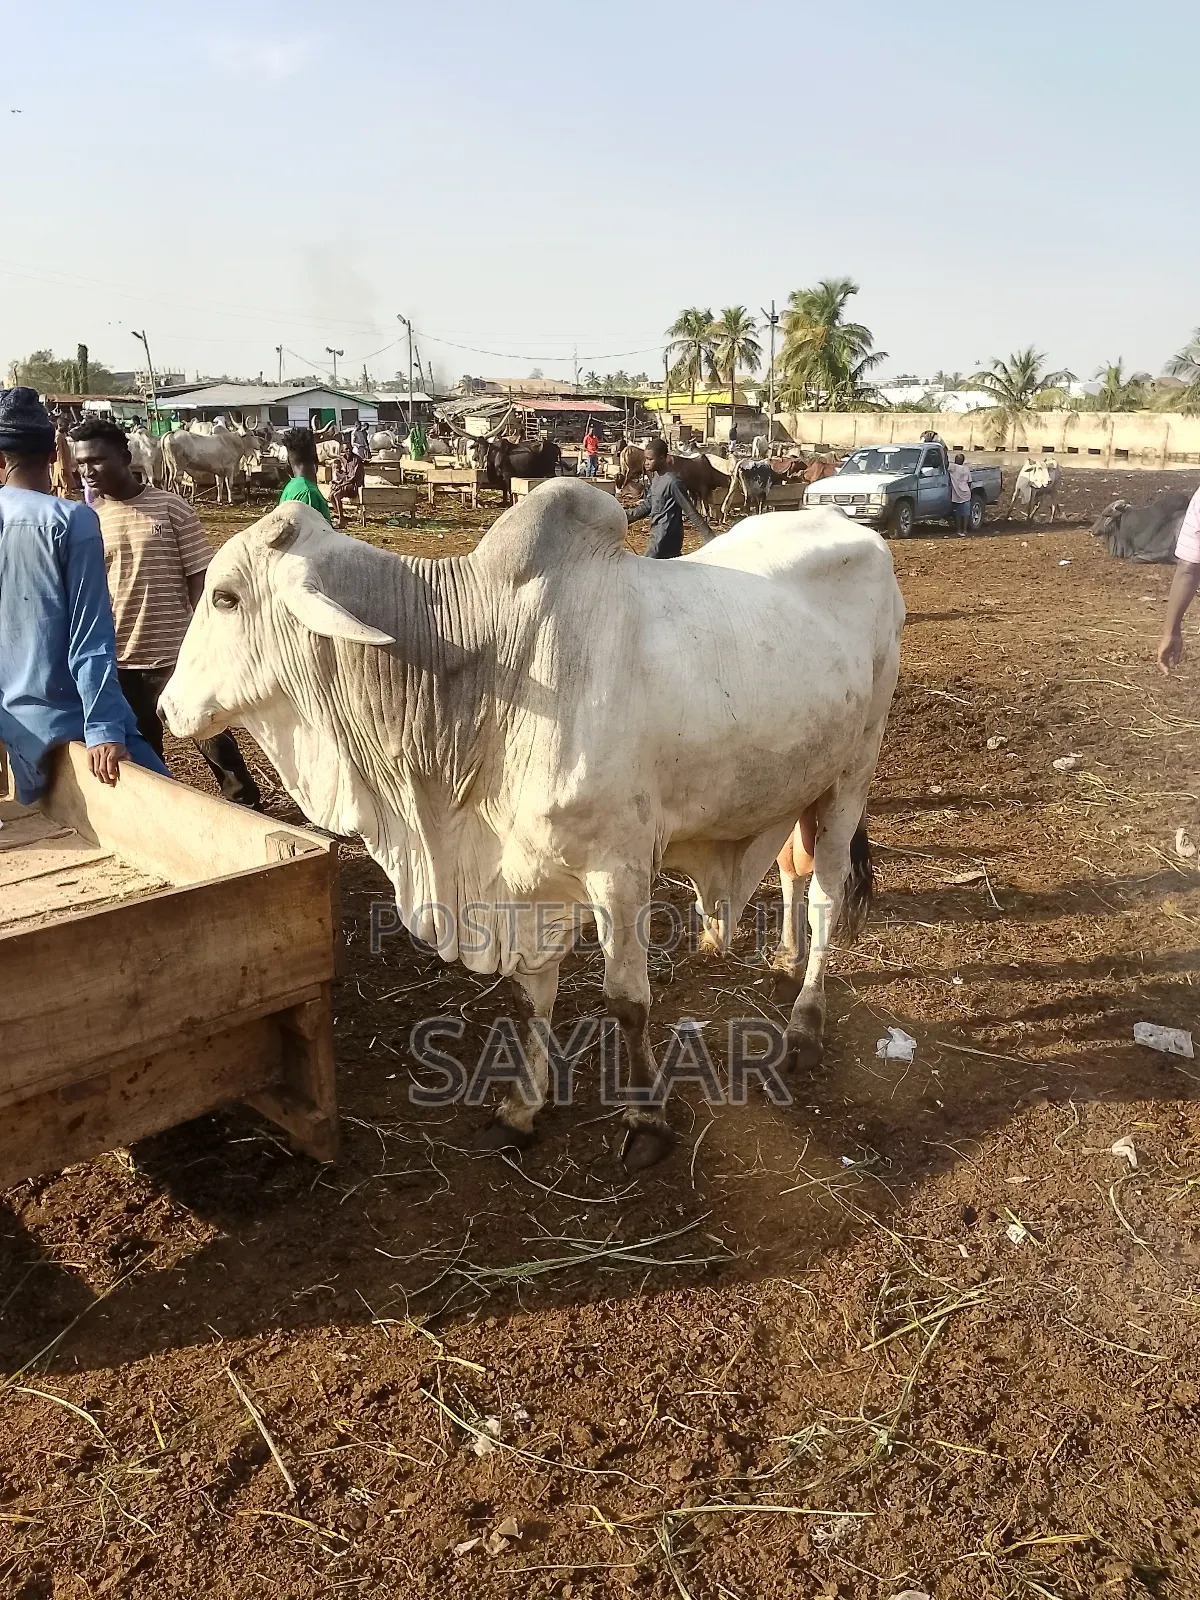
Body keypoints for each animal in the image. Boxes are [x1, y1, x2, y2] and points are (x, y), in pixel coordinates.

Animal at [160, 485, 904, 1169]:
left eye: (224, 597)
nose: (166, 707)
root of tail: (854, 529)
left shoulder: (618, 869)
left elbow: (627, 1000)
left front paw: (646, 1120)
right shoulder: (524, 874)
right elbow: (534, 991)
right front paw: (523, 1107)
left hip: (855, 769)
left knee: (827, 890)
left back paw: (804, 1024)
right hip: (797, 778)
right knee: (790, 867)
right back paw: (783, 956)